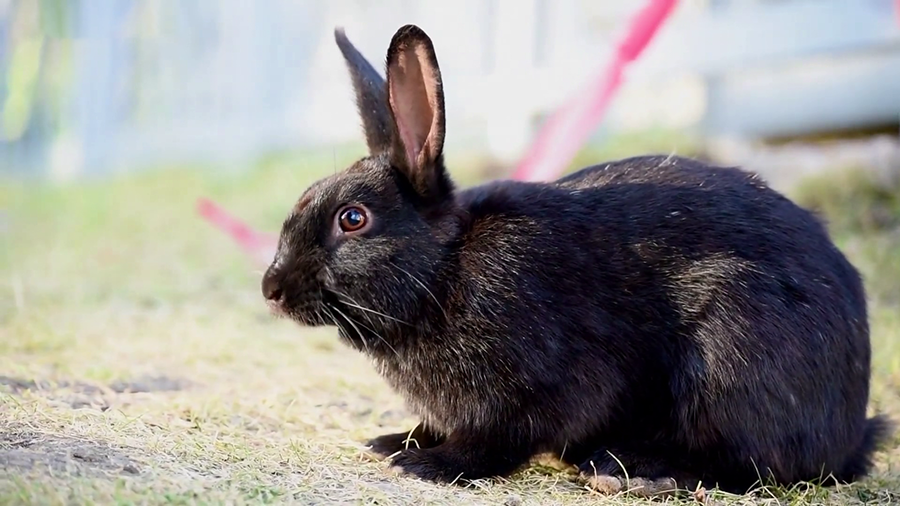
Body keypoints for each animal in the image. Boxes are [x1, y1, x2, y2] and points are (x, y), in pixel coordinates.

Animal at [262, 24, 892, 494]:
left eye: (353, 219)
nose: (272, 289)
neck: (444, 270)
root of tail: (850, 428)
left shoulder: (543, 384)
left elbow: (502, 438)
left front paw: (427, 463)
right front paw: (395, 441)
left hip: (734, 354)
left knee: (753, 465)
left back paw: (637, 472)